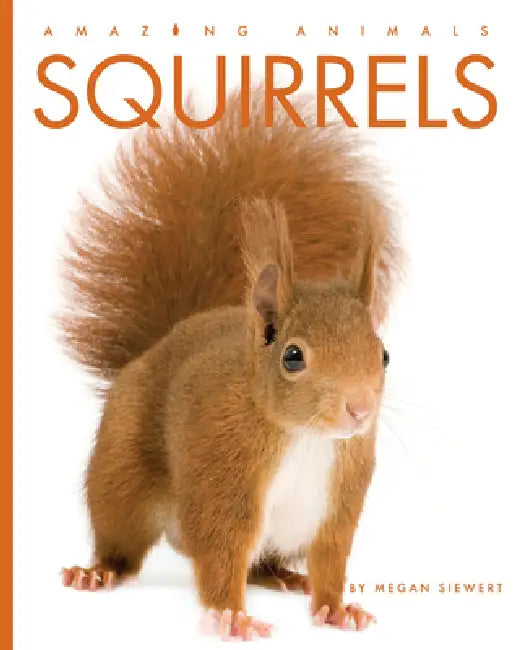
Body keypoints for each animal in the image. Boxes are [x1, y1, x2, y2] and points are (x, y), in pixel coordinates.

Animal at [60, 89, 403, 640]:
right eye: (293, 356)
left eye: (385, 354)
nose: (360, 410)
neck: (305, 437)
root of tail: (165, 340)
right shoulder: (222, 477)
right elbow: (220, 555)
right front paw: (231, 617)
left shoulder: (338, 504)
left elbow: (331, 560)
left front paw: (336, 609)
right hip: (121, 477)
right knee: (123, 543)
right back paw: (97, 572)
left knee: (263, 562)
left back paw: (284, 575)